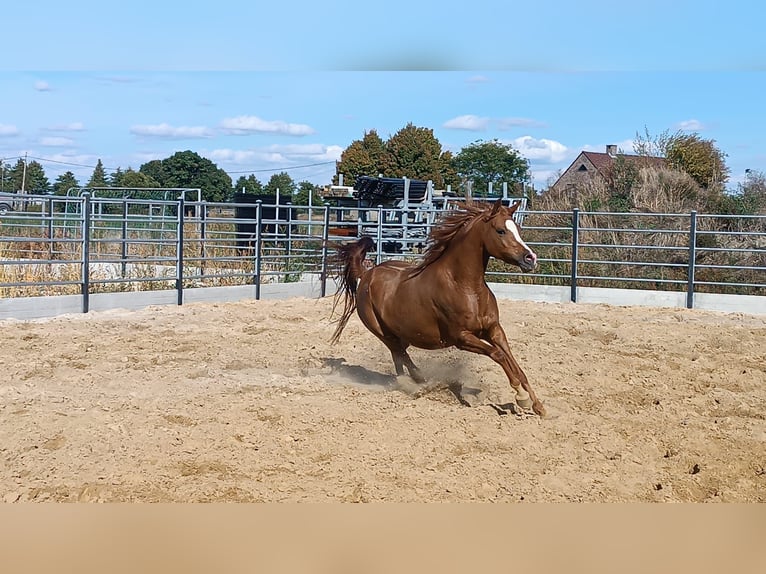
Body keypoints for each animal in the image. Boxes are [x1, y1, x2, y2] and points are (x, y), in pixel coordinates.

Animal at [330, 198, 546, 417]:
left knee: (399, 359)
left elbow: (515, 365)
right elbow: (498, 355)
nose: (531, 258)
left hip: (402, 335)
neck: (466, 287)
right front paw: (522, 398)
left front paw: (538, 406)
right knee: (401, 356)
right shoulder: (462, 338)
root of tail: (366, 274)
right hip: (383, 333)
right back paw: (420, 384)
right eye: (500, 230)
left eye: (518, 228)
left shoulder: (494, 329)